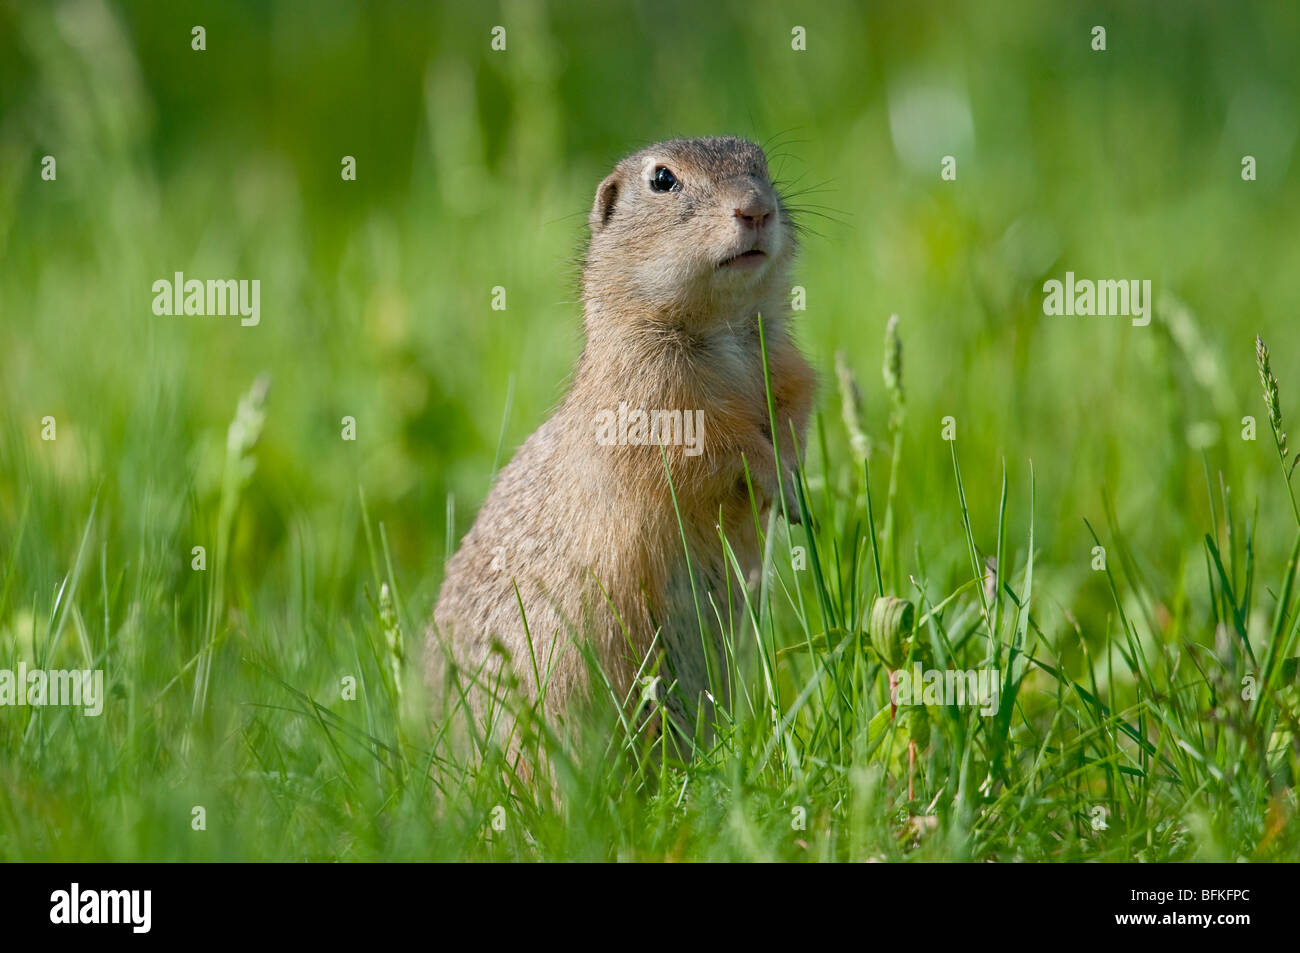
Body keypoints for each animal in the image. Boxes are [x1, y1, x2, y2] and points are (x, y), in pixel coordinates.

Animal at [427, 137, 814, 746]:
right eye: (663, 180)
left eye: (763, 165)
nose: (756, 208)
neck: (723, 328)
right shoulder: (652, 399)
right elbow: (715, 446)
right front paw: (778, 479)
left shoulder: (789, 367)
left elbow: (797, 407)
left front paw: (796, 485)